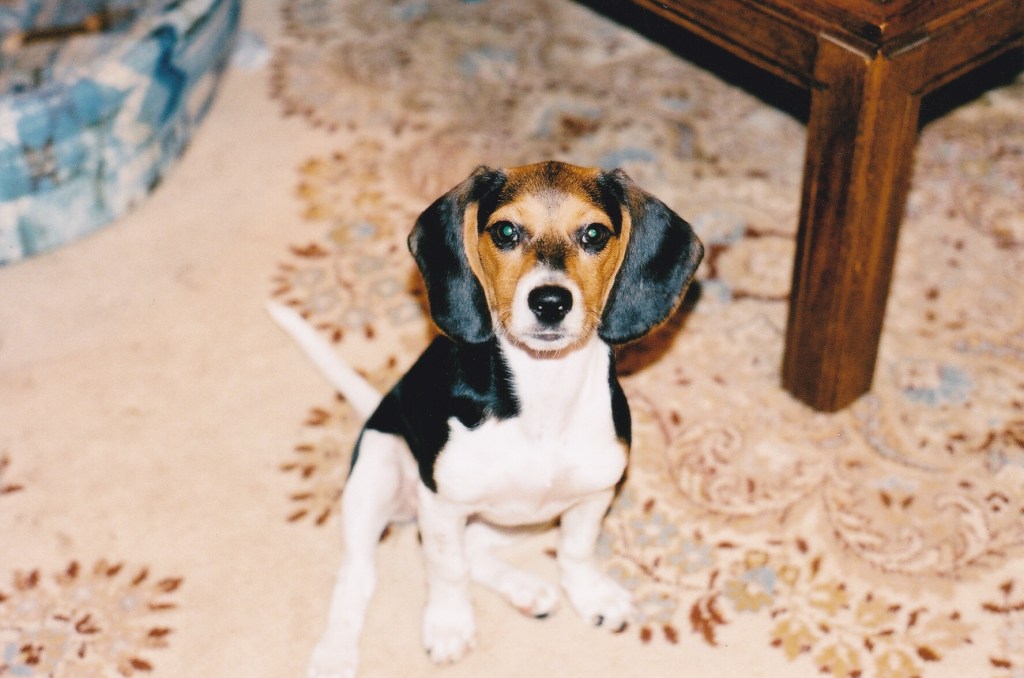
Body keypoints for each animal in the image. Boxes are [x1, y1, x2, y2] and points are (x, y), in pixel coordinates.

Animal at [269, 161, 703, 678]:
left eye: (595, 233)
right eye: (506, 232)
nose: (550, 301)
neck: (542, 393)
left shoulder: (594, 494)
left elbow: (575, 550)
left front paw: (591, 594)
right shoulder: (442, 503)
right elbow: (446, 569)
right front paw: (449, 624)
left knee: (473, 550)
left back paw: (526, 589)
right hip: (375, 474)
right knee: (359, 576)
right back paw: (335, 653)